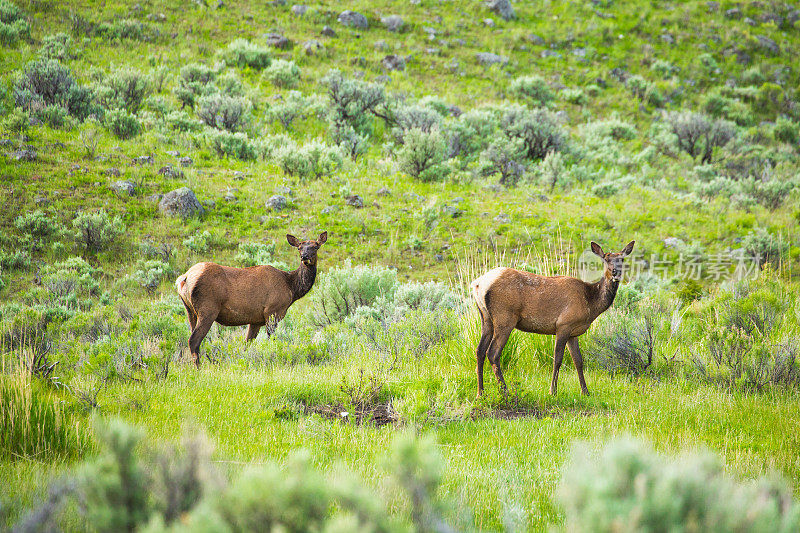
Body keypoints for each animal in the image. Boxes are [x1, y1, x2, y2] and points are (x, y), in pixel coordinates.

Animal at [176, 231, 328, 368]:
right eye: (299, 247)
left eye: (315, 246)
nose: (304, 257)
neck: (291, 288)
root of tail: (185, 278)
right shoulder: (273, 311)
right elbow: (272, 341)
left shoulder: (256, 320)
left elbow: (247, 344)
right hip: (208, 308)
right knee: (193, 340)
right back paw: (199, 369)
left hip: (190, 310)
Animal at [472, 240, 636, 394]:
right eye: (606, 259)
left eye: (622, 259)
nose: (615, 272)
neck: (590, 302)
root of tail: (478, 284)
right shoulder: (564, 324)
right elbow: (557, 359)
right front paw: (553, 391)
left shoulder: (573, 332)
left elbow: (578, 360)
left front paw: (585, 391)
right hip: (505, 317)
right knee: (492, 352)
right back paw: (505, 391)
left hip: (486, 318)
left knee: (480, 350)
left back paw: (481, 392)